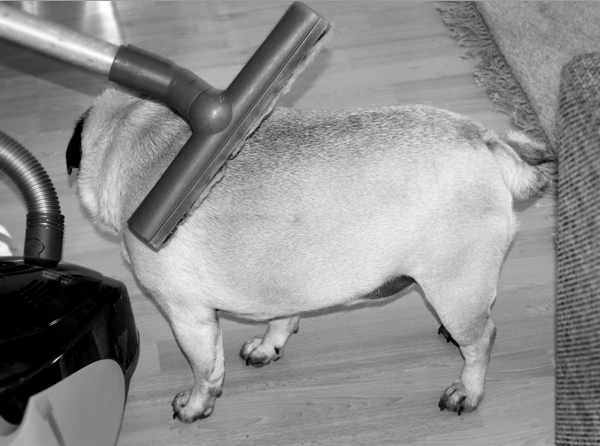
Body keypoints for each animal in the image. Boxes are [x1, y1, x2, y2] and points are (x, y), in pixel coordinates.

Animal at [66, 85, 556, 423]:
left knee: (483, 339)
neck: (131, 128)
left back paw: (467, 391)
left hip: (452, 283)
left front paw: (196, 405)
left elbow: (205, 370)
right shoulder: (282, 283)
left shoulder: (188, 316)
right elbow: (281, 318)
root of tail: (485, 139)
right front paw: (268, 345)